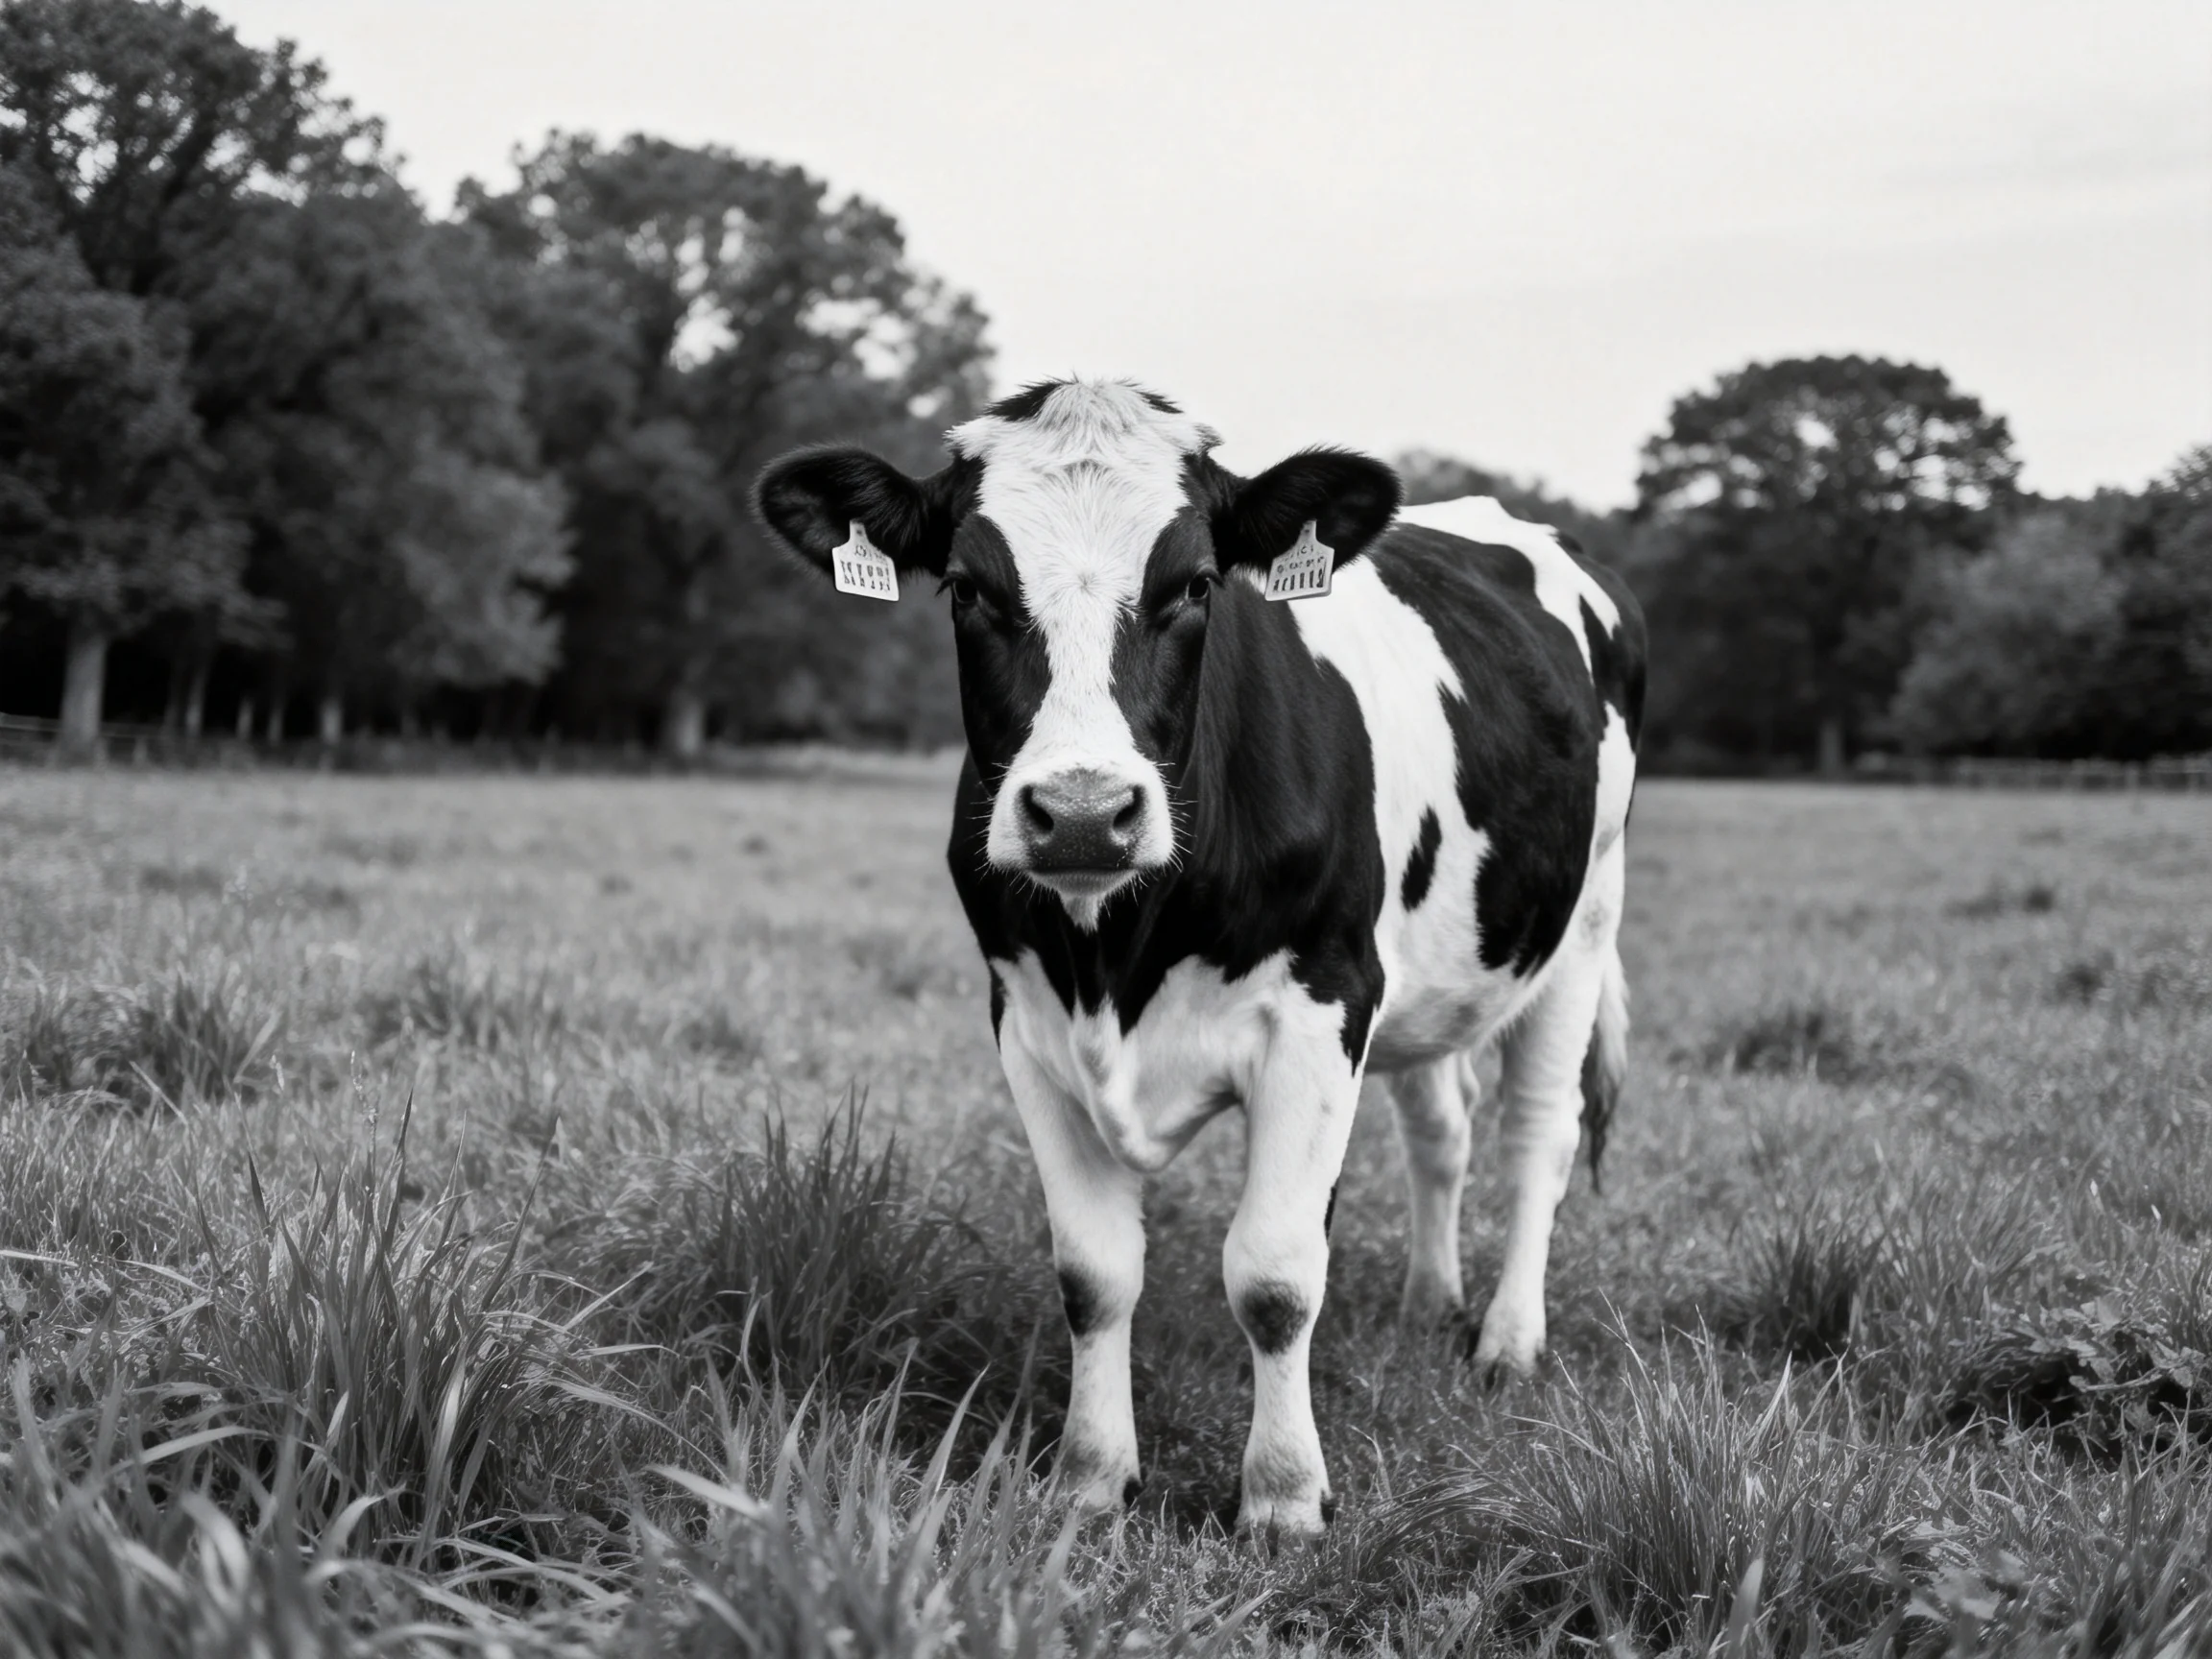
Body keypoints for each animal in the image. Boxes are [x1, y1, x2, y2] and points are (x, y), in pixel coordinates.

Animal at [754, 379, 1644, 1539]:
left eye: (1195, 584)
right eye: (965, 588)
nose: (1085, 813)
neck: (1115, 962)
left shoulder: (1324, 1004)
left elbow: (1275, 1275)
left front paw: (1282, 1496)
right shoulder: (1026, 1024)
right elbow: (1093, 1274)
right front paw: (1090, 1479)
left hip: (1581, 925)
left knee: (1538, 1136)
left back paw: (1506, 1342)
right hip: (1428, 966)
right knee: (1442, 1127)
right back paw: (1426, 1304)